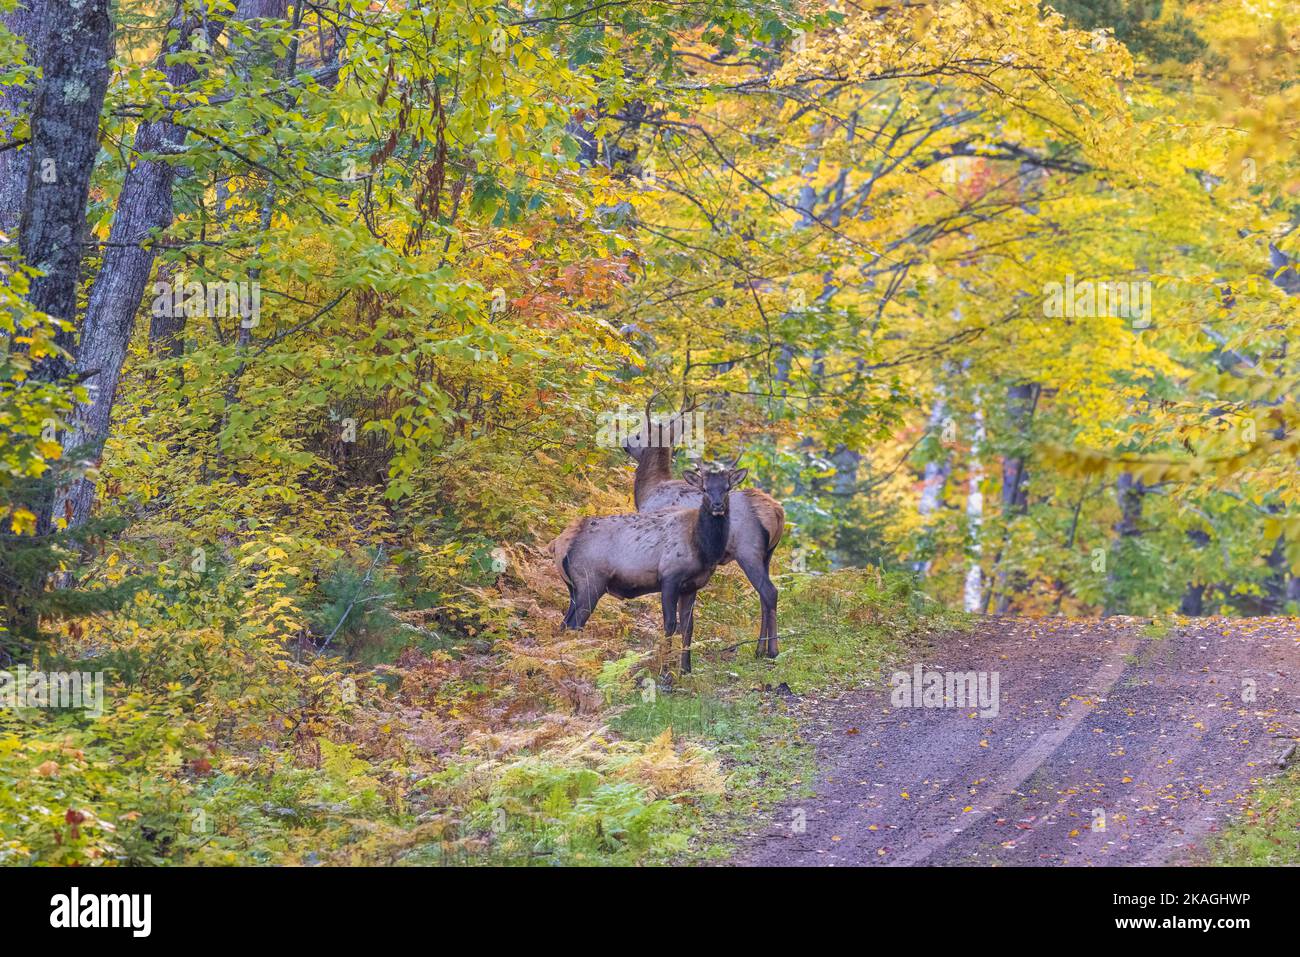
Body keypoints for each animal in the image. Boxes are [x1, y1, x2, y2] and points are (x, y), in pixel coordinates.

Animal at [549, 466, 746, 673]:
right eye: (705, 489)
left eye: (727, 488)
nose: (718, 505)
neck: (703, 548)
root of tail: (558, 544)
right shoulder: (669, 577)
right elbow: (670, 624)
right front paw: (665, 671)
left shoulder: (691, 587)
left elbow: (688, 627)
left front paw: (685, 670)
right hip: (590, 582)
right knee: (574, 624)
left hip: (574, 587)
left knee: (564, 623)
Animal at [622, 395, 785, 660]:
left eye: (638, 435)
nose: (624, 443)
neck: (648, 492)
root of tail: (777, 513)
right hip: (767, 554)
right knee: (764, 594)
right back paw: (760, 648)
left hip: (748, 549)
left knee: (769, 591)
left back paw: (771, 650)